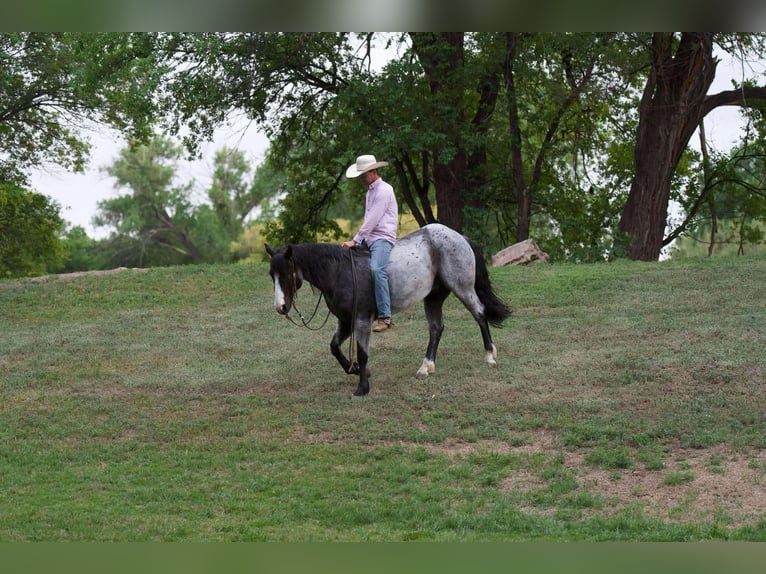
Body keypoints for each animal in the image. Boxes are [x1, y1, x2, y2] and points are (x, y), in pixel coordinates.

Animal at [264, 223, 510, 398]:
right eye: (271, 274)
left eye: (286, 273)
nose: (281, 307)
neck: (341, 271)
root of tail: (459, 237)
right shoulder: (345, 320)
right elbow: (334, 347)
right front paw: (355, 370)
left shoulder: (362, 320)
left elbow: (362, 353)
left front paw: (362, 387)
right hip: (433, 297)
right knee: (436, 328)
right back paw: (426, 367)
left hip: (463, 288)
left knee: (480, 314)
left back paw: (490, 355)